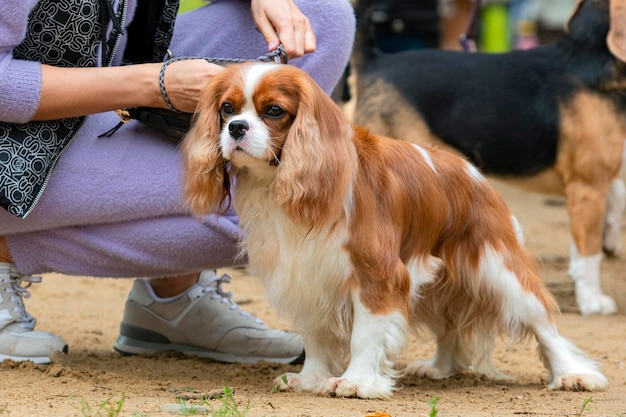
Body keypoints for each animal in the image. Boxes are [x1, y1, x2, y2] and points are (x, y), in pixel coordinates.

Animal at [179, 61, 604, 396]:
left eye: (273, 111)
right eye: (227, 108)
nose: (236, 128)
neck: (278, 184)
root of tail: (473, 172)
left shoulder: (378, 274)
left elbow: (365, 335)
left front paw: (356, 383)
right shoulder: (309, 275)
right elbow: (316, 337)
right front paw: (310, 379)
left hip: (496, 267)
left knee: (543, 321)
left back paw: (573, 374)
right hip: (435, 284)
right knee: (449, 324)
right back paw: (439, 367)